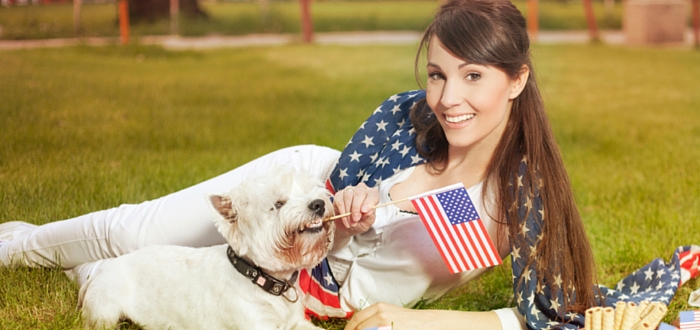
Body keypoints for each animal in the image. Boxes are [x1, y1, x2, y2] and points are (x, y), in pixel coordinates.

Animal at [78, 169, 334, 328]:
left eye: (310, 191)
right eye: (278, 204)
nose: (318, 204)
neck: (258, 277)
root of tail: (97, 275)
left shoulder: (296, 322)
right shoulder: (255, 323)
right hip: (106, 310)